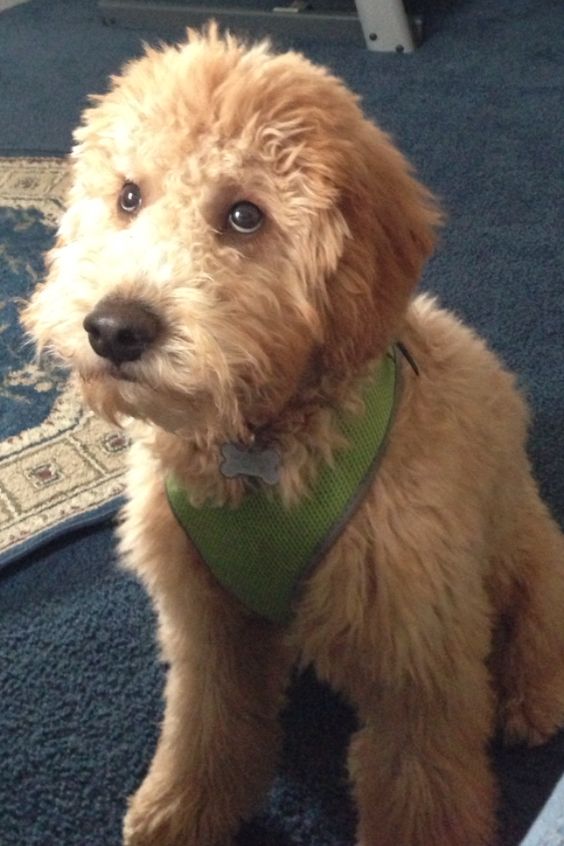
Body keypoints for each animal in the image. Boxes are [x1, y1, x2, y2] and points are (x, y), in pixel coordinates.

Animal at [22, 24, 564, 846]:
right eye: (128, 196)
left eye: (245, 216)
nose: (114, 328)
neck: (257, 453)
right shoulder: (205, 624)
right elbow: (206, 726)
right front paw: (181, 810)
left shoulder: (418, 661)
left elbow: (420, 786)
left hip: (517, 543)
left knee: (541, 606)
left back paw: (534, 696)